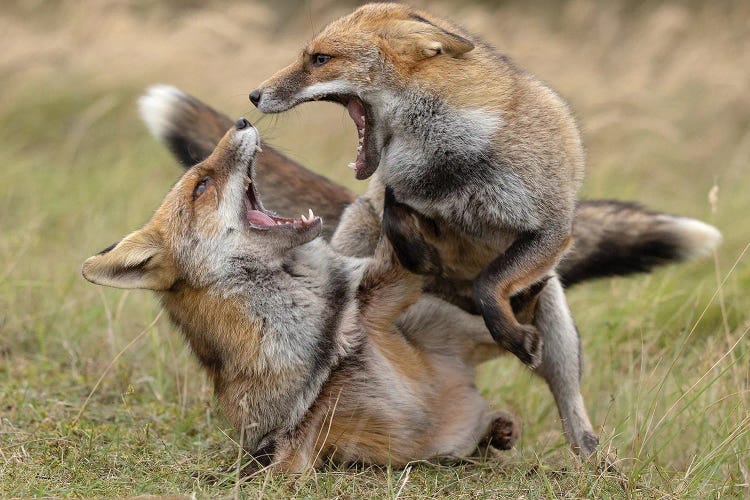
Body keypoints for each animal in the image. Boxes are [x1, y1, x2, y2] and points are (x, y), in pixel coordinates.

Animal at [82, 119, 524, 470]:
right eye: (201, 186)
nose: (243, 120)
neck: (323, 335)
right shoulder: (288, 444)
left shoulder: (378, 302)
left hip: (458, 331)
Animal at [140, 86, 724, 460]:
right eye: (201, 186)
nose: (244, 122)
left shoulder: (536, 233)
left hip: (552, 329)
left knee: (567, 398)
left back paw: (590, 458)